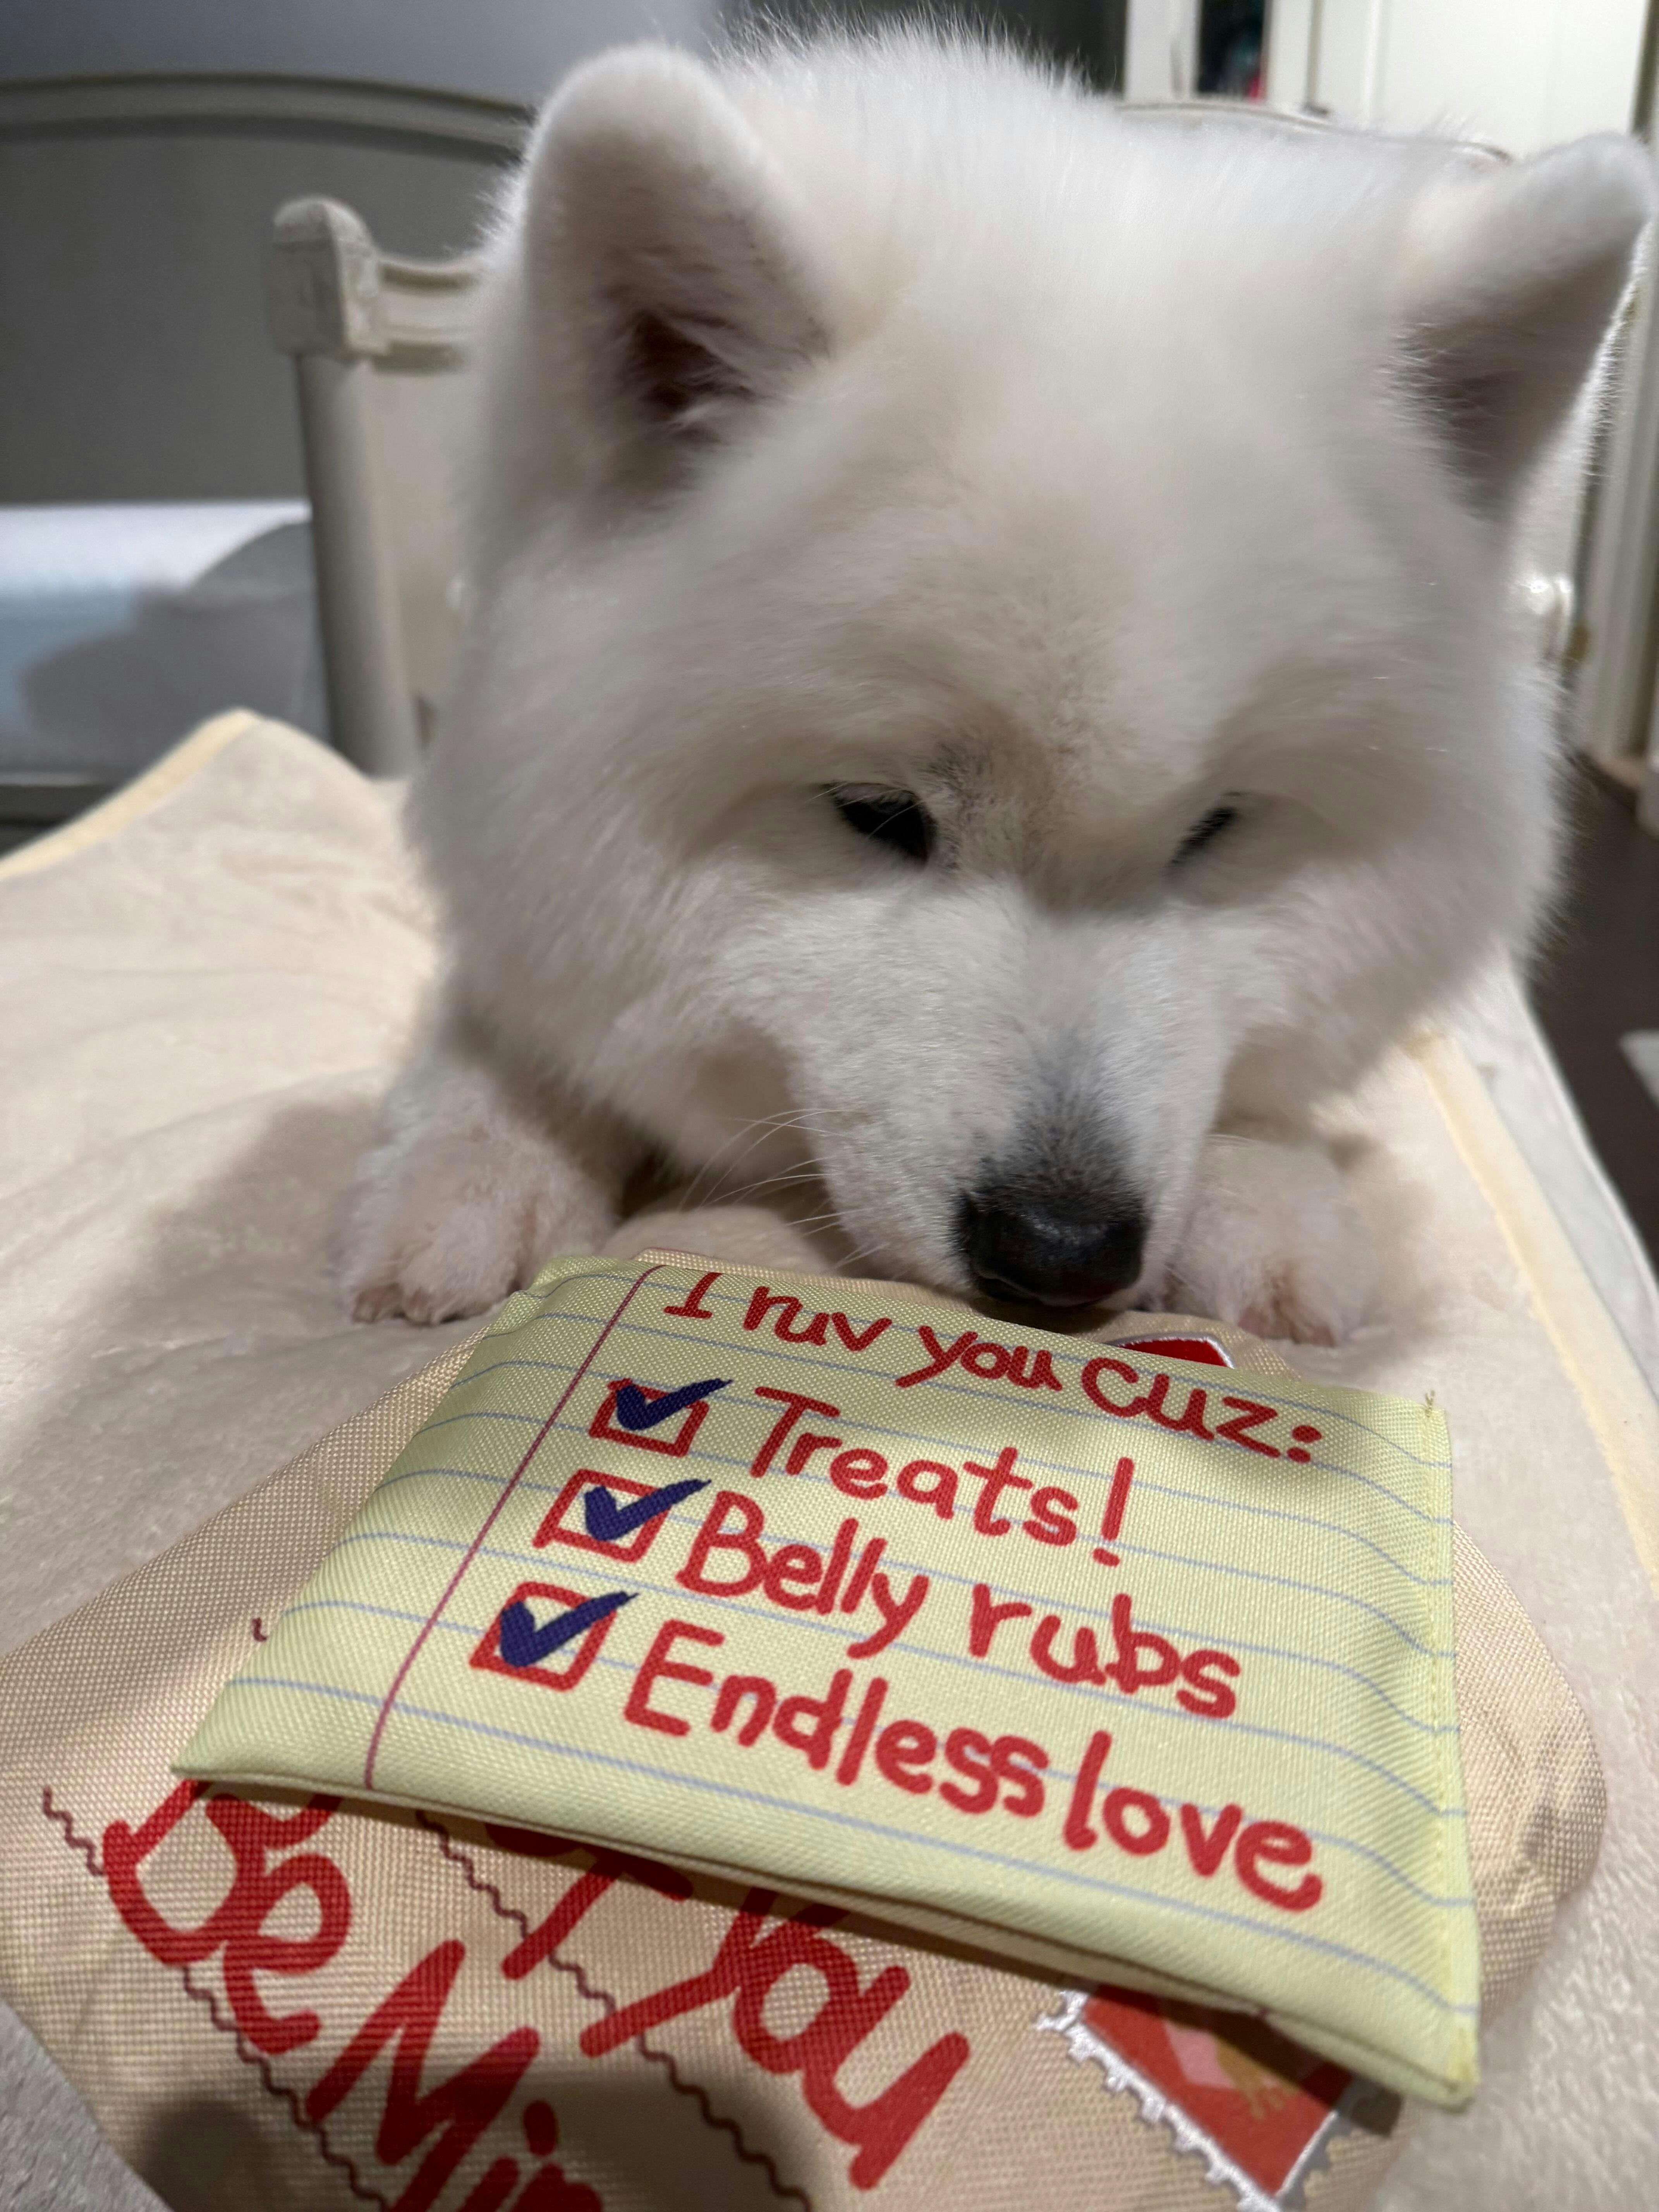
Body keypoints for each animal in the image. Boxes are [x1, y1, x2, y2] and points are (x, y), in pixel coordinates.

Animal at [342, 27, 1652, 1343]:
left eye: (1216, 830)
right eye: (875, 815)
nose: (1064, 1251)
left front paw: (1270, 1188)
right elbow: (506, 1024)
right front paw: (476, 1161)